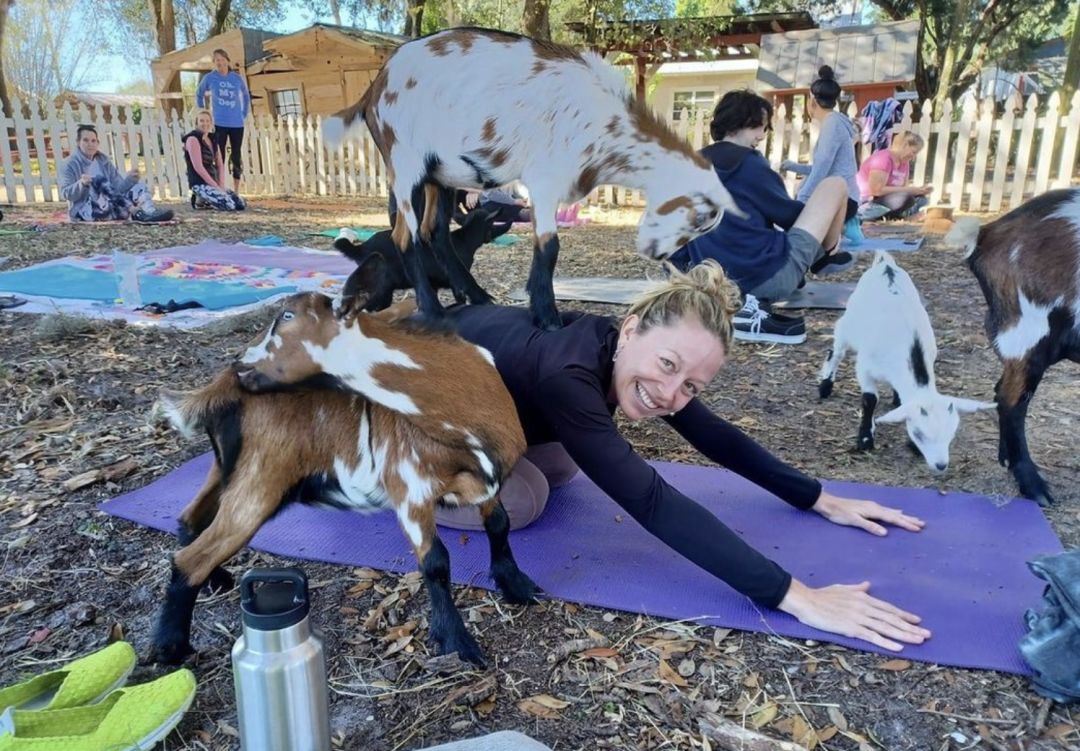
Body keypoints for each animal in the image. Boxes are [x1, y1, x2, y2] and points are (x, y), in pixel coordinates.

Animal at [152, 291, 535, 665]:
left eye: (286, 316)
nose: (240, 359)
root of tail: (218, 388)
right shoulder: (408, 486)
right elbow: (436, 562)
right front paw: (456, 642)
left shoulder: (487, 484)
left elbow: (499, 525)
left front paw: (518, 586)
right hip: (260, 481)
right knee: (192, 557)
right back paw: (170, 647)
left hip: (229, 468)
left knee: (190, 519)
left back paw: (215, 581)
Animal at [332, 208, 509, 311]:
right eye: (493, 223)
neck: (464, 239)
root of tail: (362, 247)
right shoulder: (456, 282)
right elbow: (461, 297)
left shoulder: (434, 283)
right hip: (382, 290)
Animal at [820, 256, 989, 473]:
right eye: (919, 434)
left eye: (951, 434)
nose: (941, 465)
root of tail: (885, 263)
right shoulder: (864, 368)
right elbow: (869, 400)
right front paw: (865, 439)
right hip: (847, 324)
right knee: (836, 352)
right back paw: (825, 386)